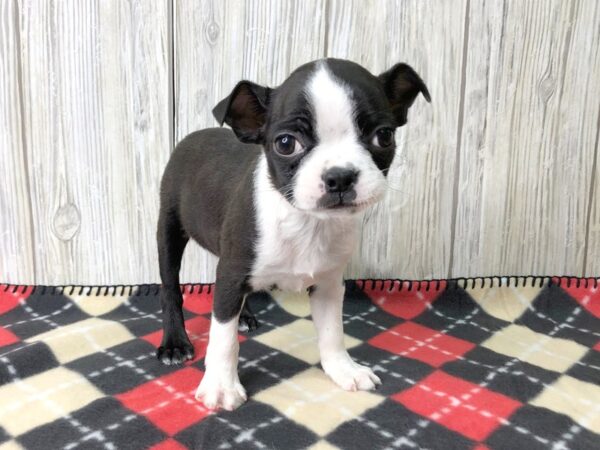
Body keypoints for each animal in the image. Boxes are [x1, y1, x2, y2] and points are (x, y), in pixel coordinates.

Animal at [157, 58, 428, 410]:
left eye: (384, 136)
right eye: (286, 143)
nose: (340, 176)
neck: (307, 221)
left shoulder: (328, 284)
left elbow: (332, 331)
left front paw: (343, 369)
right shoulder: (231, 273)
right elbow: (223, 337)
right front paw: (221, 386)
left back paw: (245, 315)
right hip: (169, 229)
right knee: (171, 290)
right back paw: (175, 342)